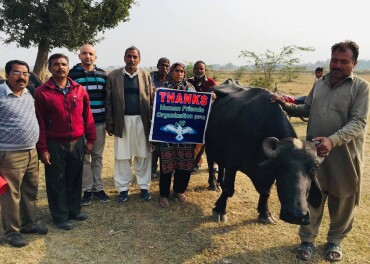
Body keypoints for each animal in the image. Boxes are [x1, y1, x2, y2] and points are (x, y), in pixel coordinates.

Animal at [204, 79, 322, 225]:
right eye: (280, 165)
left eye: (314, 168)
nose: (297, 216)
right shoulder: (232, 164)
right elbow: (228, 189)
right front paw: (219, 210)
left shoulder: (268, 173)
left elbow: (266, 192)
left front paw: (265, 213)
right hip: (209, 147)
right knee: (211, 163)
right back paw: (214, 184)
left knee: (220, 164)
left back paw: (220, 180)